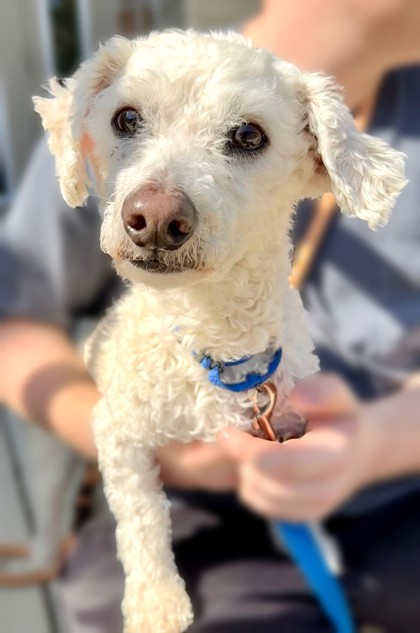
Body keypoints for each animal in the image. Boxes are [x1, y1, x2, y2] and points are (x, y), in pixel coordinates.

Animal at [33, 29, 406, 632]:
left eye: (249, 134)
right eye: (126, 118)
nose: (156, 218)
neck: (220, 348)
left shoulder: (282, 426)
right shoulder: (118, 432)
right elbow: (143, 519)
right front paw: (156, 600)